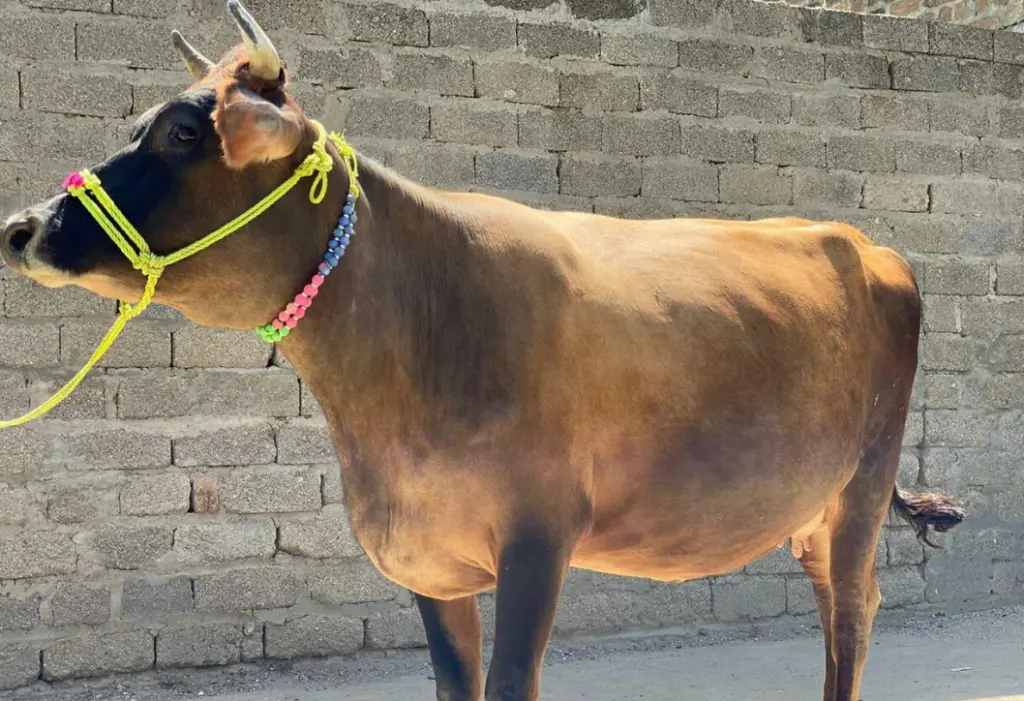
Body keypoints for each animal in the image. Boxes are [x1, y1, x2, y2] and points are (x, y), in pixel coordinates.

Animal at [0, 2, 962, 695]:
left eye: (181, 132)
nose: (23, 227)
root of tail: (862, 242)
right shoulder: (431, 556)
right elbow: (455, 686)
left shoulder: (538, 538)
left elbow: (507, 683)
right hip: (810, 501)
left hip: (864, 480)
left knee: (852, 609)